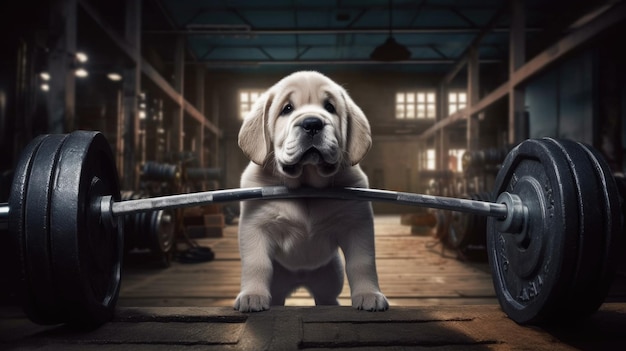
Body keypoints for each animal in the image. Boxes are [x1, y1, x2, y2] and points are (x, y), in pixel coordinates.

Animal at [236, 70, 388, 312]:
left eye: (330, 107)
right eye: (287, 109)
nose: (312, 123)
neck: (306, 186)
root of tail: (300, 278)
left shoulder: (357, 223)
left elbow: (361, 262)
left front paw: (369, 294)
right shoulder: (255, 225)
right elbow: (257, 263)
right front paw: (252, 295)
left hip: (330, 275)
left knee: (327, 296)